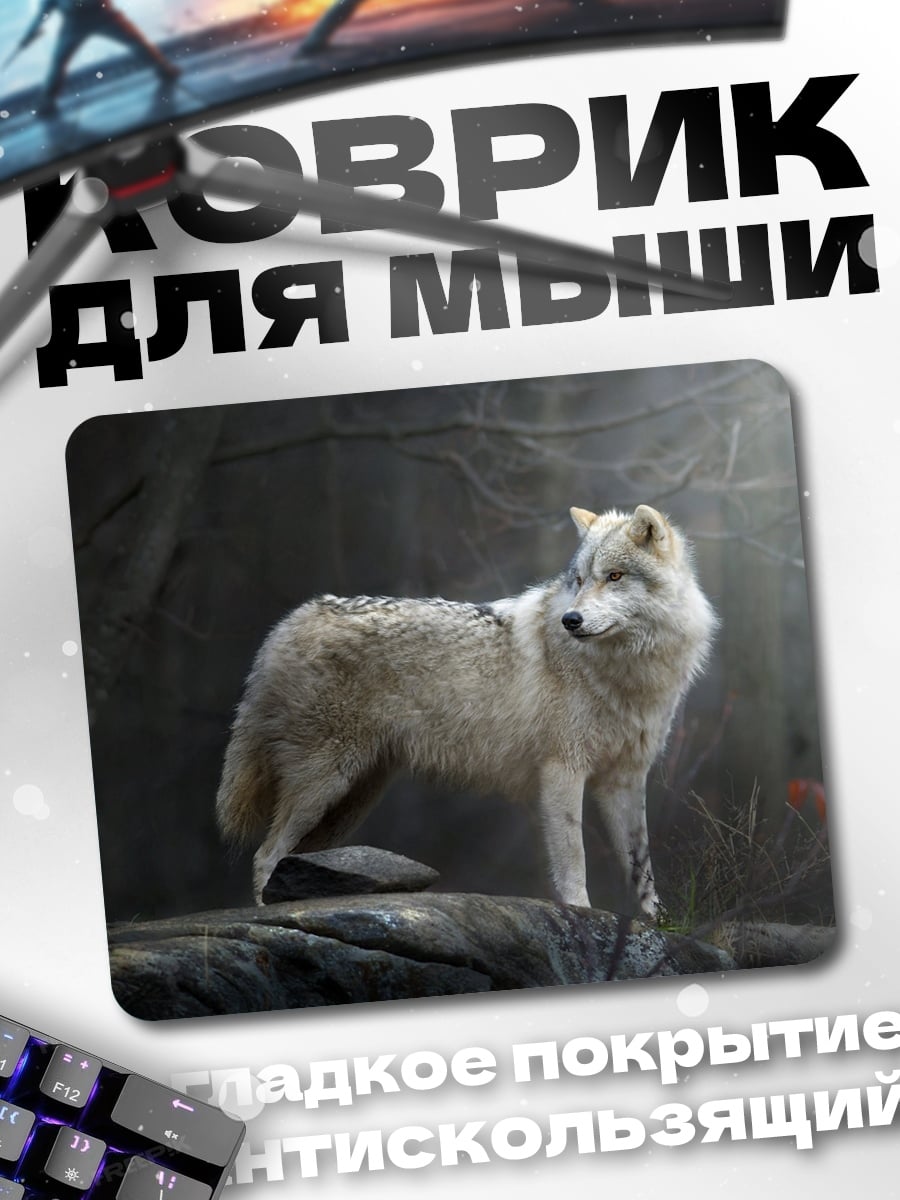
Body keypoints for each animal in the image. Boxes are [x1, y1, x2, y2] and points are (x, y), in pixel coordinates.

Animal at [216, 504, 715, 915]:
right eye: (578, 580)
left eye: (614, 577)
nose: (570, 620)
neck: (628, 672)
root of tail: (291, 622)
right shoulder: (562, 770)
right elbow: (574, 857)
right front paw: (582, 913)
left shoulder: (625, 780)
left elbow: (641, 866)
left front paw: (656, 924)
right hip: (325, 783)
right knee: (266, 854)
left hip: (348, 800)